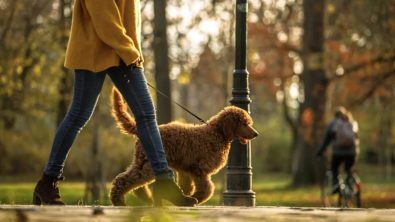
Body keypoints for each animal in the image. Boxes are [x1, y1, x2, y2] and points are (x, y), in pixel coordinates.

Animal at [110, 87, 258, 206]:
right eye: (244, 123)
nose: (256, 134)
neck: (217, 133)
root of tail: (138, 129)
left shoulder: (186, 170)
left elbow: (187, 186)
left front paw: (185, 197)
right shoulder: (199, 169)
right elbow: (207, 189)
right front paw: (196, 197)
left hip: (143, 160)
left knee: (135, 180)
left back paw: (146, 198)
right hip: (147, 162)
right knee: (125, 179)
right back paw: (118, 200)